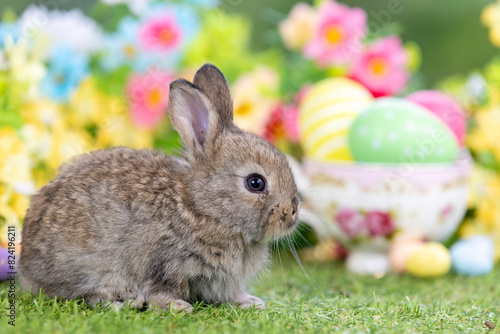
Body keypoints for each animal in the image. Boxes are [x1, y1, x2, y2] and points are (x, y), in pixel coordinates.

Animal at [19, 64, 298, 312]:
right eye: (255, 183)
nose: (292, 214)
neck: (202, 208)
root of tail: (26, 264)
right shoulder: (164, 264)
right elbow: (161, 290)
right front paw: (177, 307)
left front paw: (250, 302)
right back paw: (123, 300)